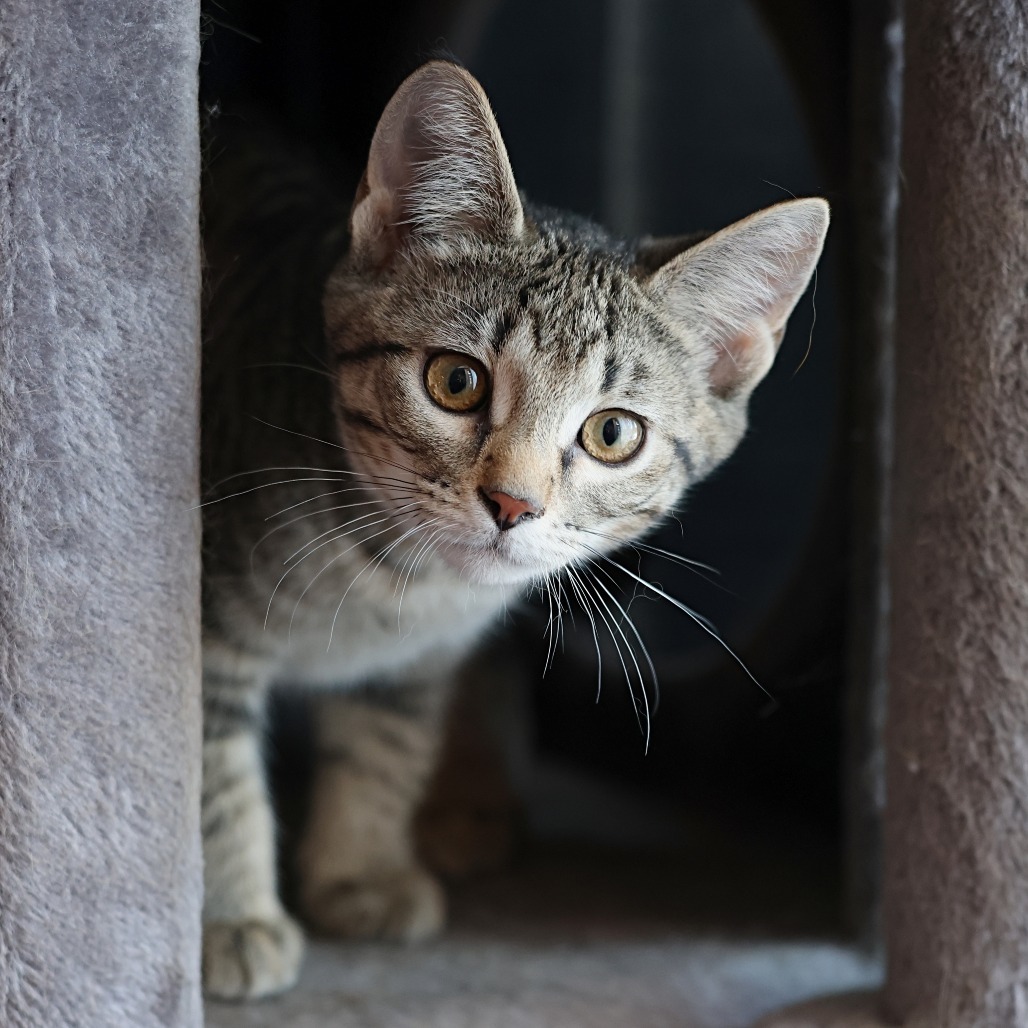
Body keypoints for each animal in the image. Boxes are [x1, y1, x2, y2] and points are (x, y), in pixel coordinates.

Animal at [198, 60, 826, 999]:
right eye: (455, 381)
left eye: (613, 433)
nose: (512, 504)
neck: (392, 584)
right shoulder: (200, 619)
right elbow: (209, 771)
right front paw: (230, 917)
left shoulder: (416, 665)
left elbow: (386, 746)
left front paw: (360, 869)